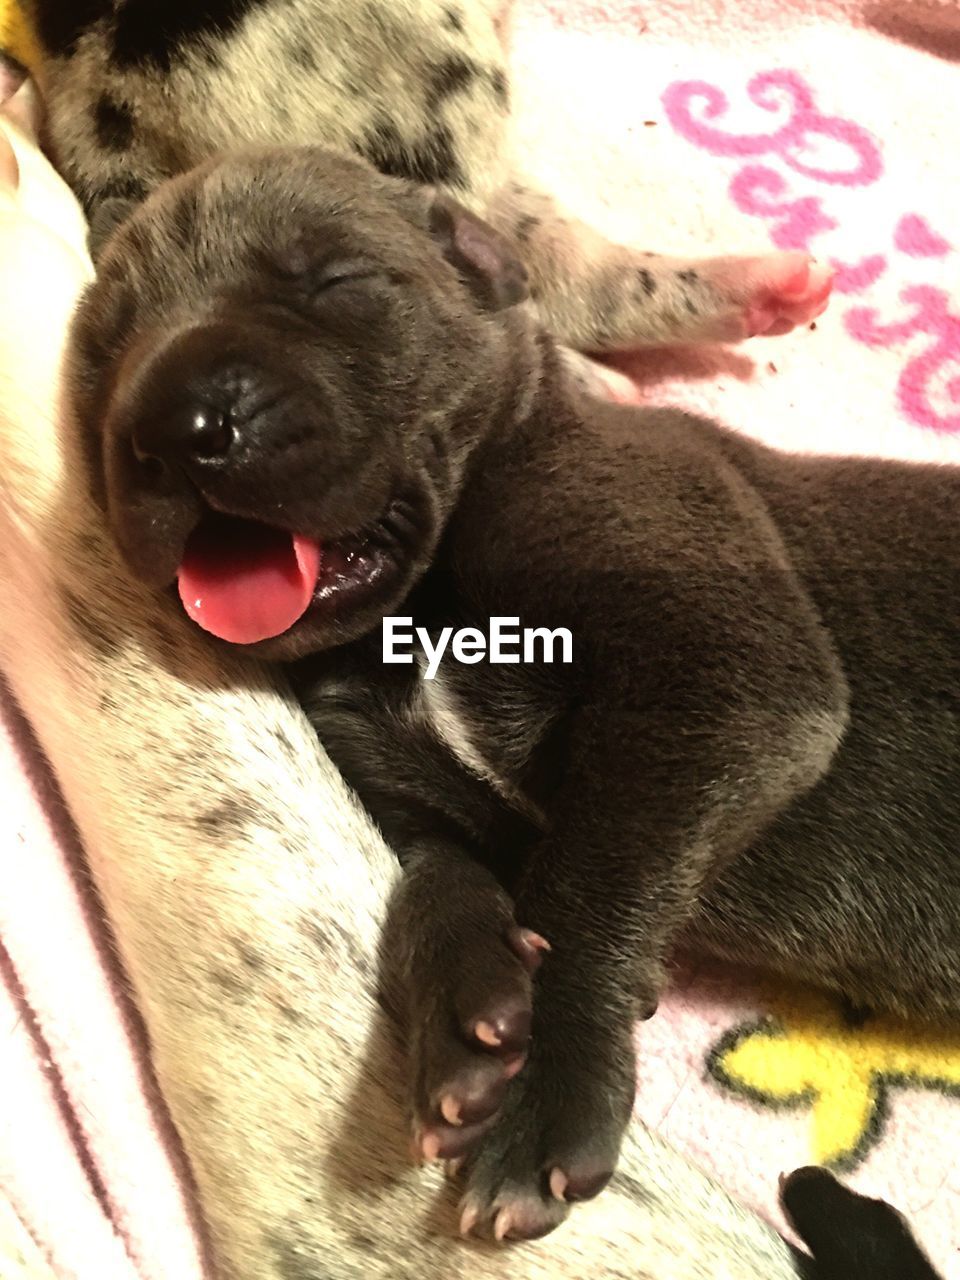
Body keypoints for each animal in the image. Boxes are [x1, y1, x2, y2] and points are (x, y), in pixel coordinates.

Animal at [69, 145, 960, 1244]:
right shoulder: (413, 797)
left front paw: (548, 1083)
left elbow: (591, 874)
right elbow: (434, 883)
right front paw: (473, 1019)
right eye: (105, 347)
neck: (420, 606)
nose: (175, 421)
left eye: (335, 280)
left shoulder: (721, 657)